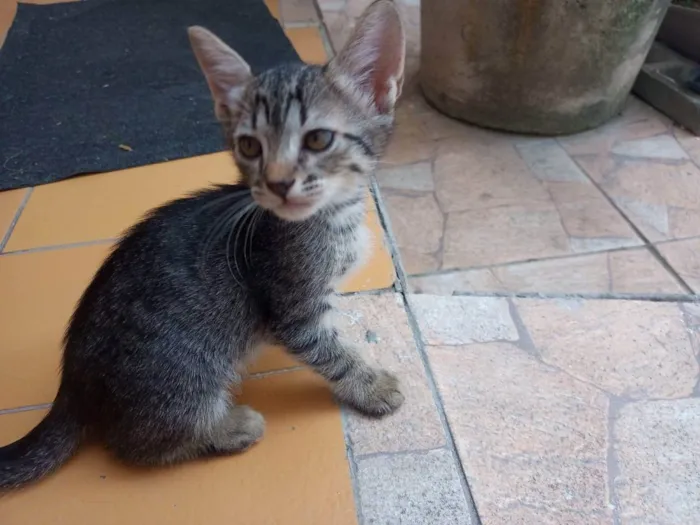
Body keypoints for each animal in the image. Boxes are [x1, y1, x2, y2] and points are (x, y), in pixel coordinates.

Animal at [0, 1, 408, 492]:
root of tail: (72, 384)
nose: (278, 182)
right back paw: (229, 427)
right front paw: (371, 385)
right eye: (249, 146)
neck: (334, 216)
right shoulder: (293, 309)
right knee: (134, 445)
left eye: (317, 138)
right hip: (182, 374)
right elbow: (331, 353)